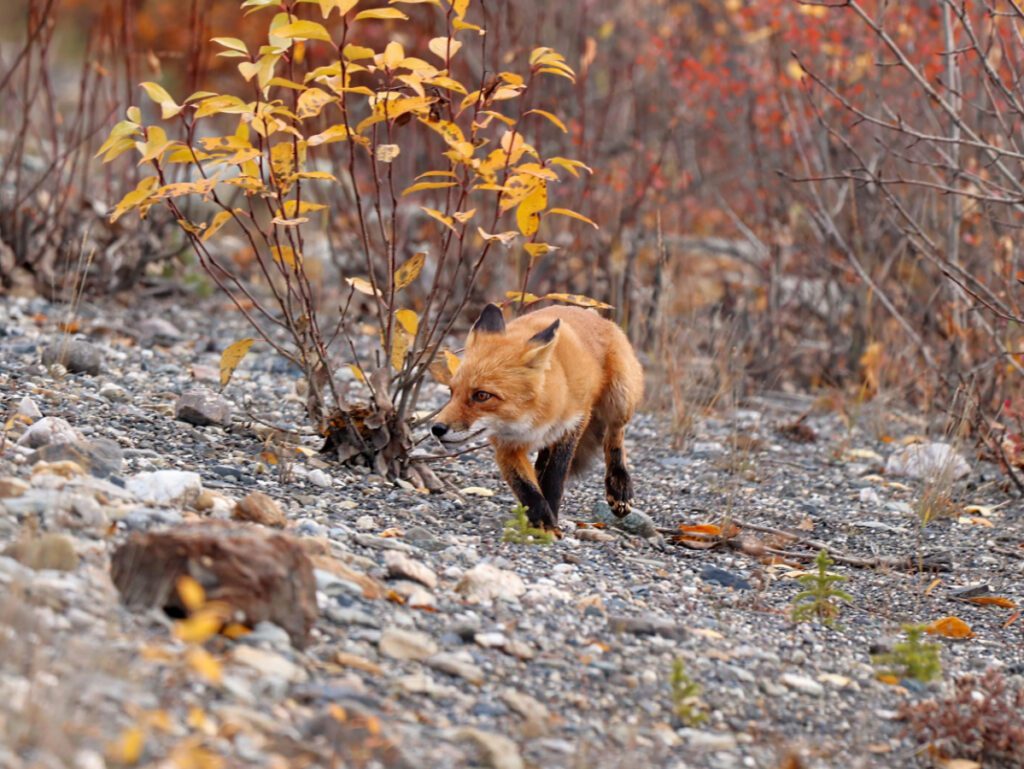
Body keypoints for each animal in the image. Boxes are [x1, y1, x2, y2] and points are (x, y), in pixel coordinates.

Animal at [430, 303, 638, 536]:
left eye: (482, 395)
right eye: (451, 392)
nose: (436, 428)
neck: (532, 418)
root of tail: (593, 314)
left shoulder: (573, 424)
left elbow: (555, 477)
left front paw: (550, 516)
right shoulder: (506, 444)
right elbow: (524, 485)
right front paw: (542, 518)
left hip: (620, 397)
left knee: (615, 436)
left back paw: (619, 485)